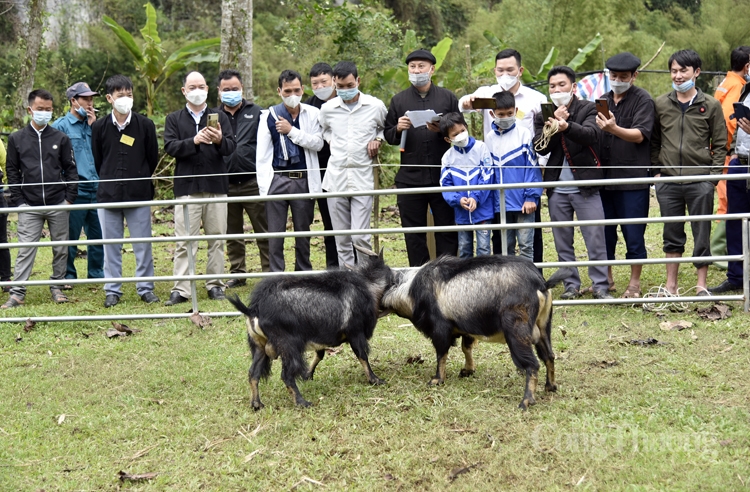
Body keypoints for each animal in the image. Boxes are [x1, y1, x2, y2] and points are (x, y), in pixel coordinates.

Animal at [228, 250, 394, 408]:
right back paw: (302, 402)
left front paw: (308, 375)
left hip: (259, 346)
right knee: (286, 375)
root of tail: (254, 308)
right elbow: (362, 356)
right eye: (391, 275)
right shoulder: (355, 332)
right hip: (289, 345)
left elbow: (319, 355)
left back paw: (257, 404)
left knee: (253, 373)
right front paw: (375, 379)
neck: (366, 285)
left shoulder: (320, 338)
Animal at [382, 256, 568, 410]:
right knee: (549, 356)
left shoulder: (440, 329)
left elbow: (441, 354)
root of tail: (541, 284)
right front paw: (468, 370)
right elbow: (466, 348)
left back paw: (526, 401)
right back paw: (550, 386)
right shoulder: (465, 330)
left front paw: (437, 379)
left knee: (532, 364)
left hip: (516, 331)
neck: (410, 290)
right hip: (543, 327)